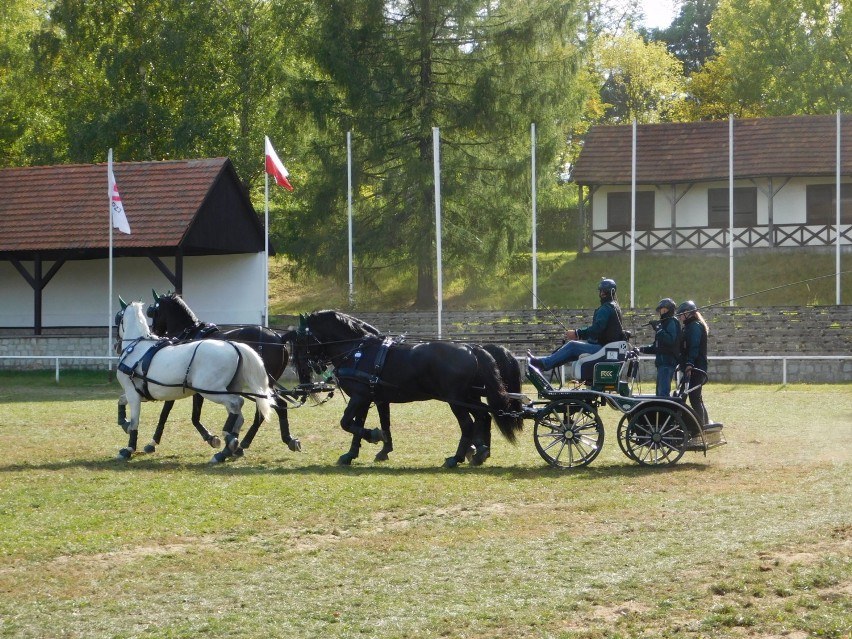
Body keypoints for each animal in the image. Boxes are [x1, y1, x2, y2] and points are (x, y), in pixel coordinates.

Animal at [114, 302, 272, 462]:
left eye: (117, 318)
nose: (116, 346)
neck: (137, 349)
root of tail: (234, 346)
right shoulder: (141, 393)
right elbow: (121, 400)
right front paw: (124, 423)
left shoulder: (133, 393)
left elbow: (135, 421)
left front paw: (128, 449)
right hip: (228, 388)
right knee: (238, 416)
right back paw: (227, 448)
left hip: (211, 390)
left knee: (236, 403)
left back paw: (227, 440)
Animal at [146, 292, 312, 462]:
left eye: (153, 311)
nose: (154, 333)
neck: (190, 332)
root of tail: (279, 337)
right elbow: (194, 415)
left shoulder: (179, 383)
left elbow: (171, 413)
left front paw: (153, 441)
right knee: (274, 407)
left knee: (270, 408)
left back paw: (246, 443)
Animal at [292, 308, 524, 468]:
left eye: (300, 338)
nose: (300, 367)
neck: (358, 350)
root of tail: (471, 348)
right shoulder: (373, 398)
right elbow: (373, 424)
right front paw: (366, 452)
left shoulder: (359, 397)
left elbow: (347, 423)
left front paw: (373, 436)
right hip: (469, 397)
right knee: (484, 417)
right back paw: (480, 452)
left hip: (456, 399)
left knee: (468, 424)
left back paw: (456, 458)